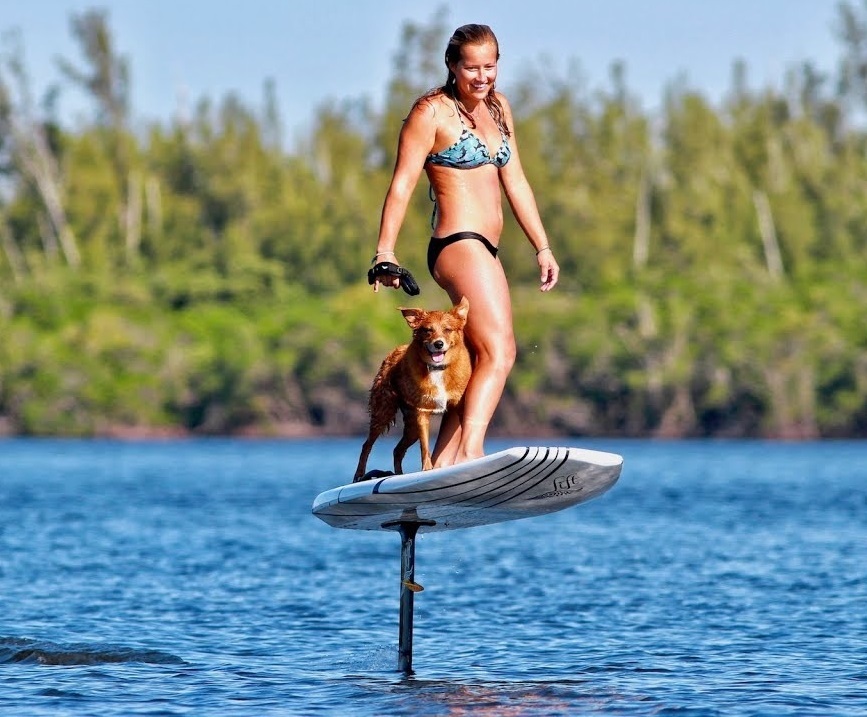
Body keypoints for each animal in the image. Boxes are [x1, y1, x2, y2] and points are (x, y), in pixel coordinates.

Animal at [356, 296, 472, 482]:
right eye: (427, 330)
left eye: (447, 330)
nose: (438, 344)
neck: (437, 369)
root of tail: (394, 351)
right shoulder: (422, 413)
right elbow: (425, 446)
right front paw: (427, 469)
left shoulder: (458, 406)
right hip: (384, 412)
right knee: (367, 445)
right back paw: (359, 475)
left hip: (411, 426)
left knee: (398, 450)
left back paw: (398, 475)